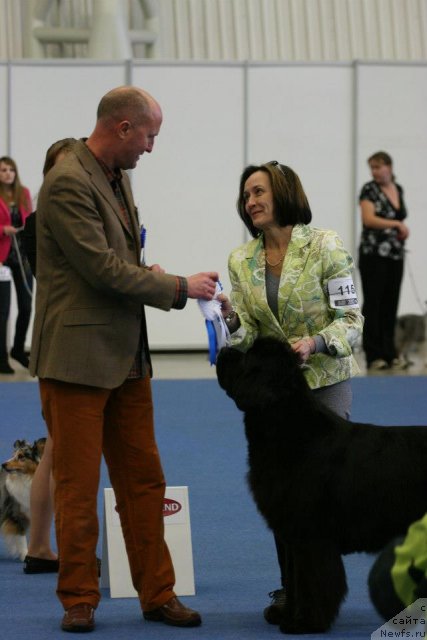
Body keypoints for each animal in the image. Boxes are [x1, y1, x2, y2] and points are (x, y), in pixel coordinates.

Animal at [219, 338, 427, 632]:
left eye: (248, 357)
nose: (224, 350)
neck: (291, 432)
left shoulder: (310, 535)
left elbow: (312, 582)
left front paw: (305, 623)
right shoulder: (291, 534)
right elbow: (294, 580)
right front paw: (287, 615)